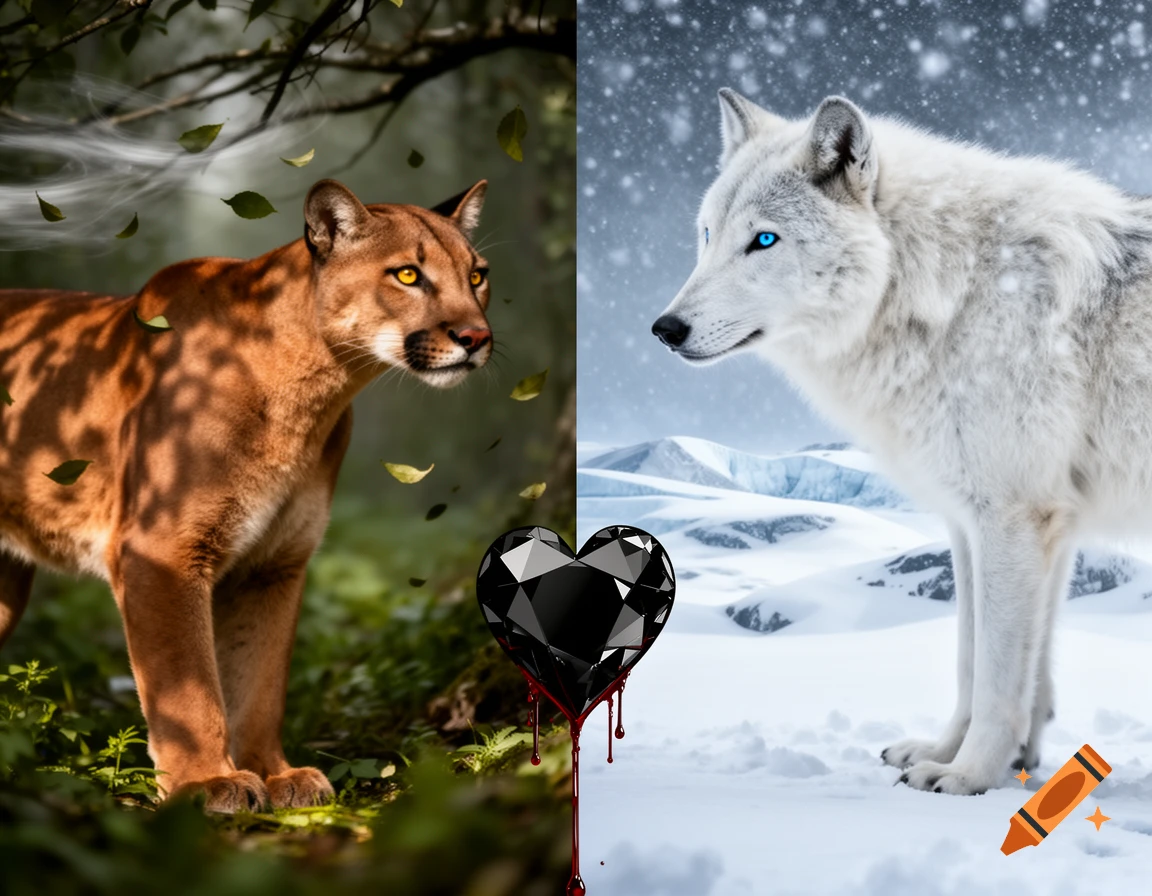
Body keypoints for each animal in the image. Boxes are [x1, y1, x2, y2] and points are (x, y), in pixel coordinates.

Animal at [652, 89, 1152, 795]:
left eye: (763, 240)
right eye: (707, 235)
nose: (665, 328)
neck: (950, 290)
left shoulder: (1011, 518)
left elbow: (998, 674)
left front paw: (968, 775)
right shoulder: (984, 525)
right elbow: (974, 663)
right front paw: (953, 754)